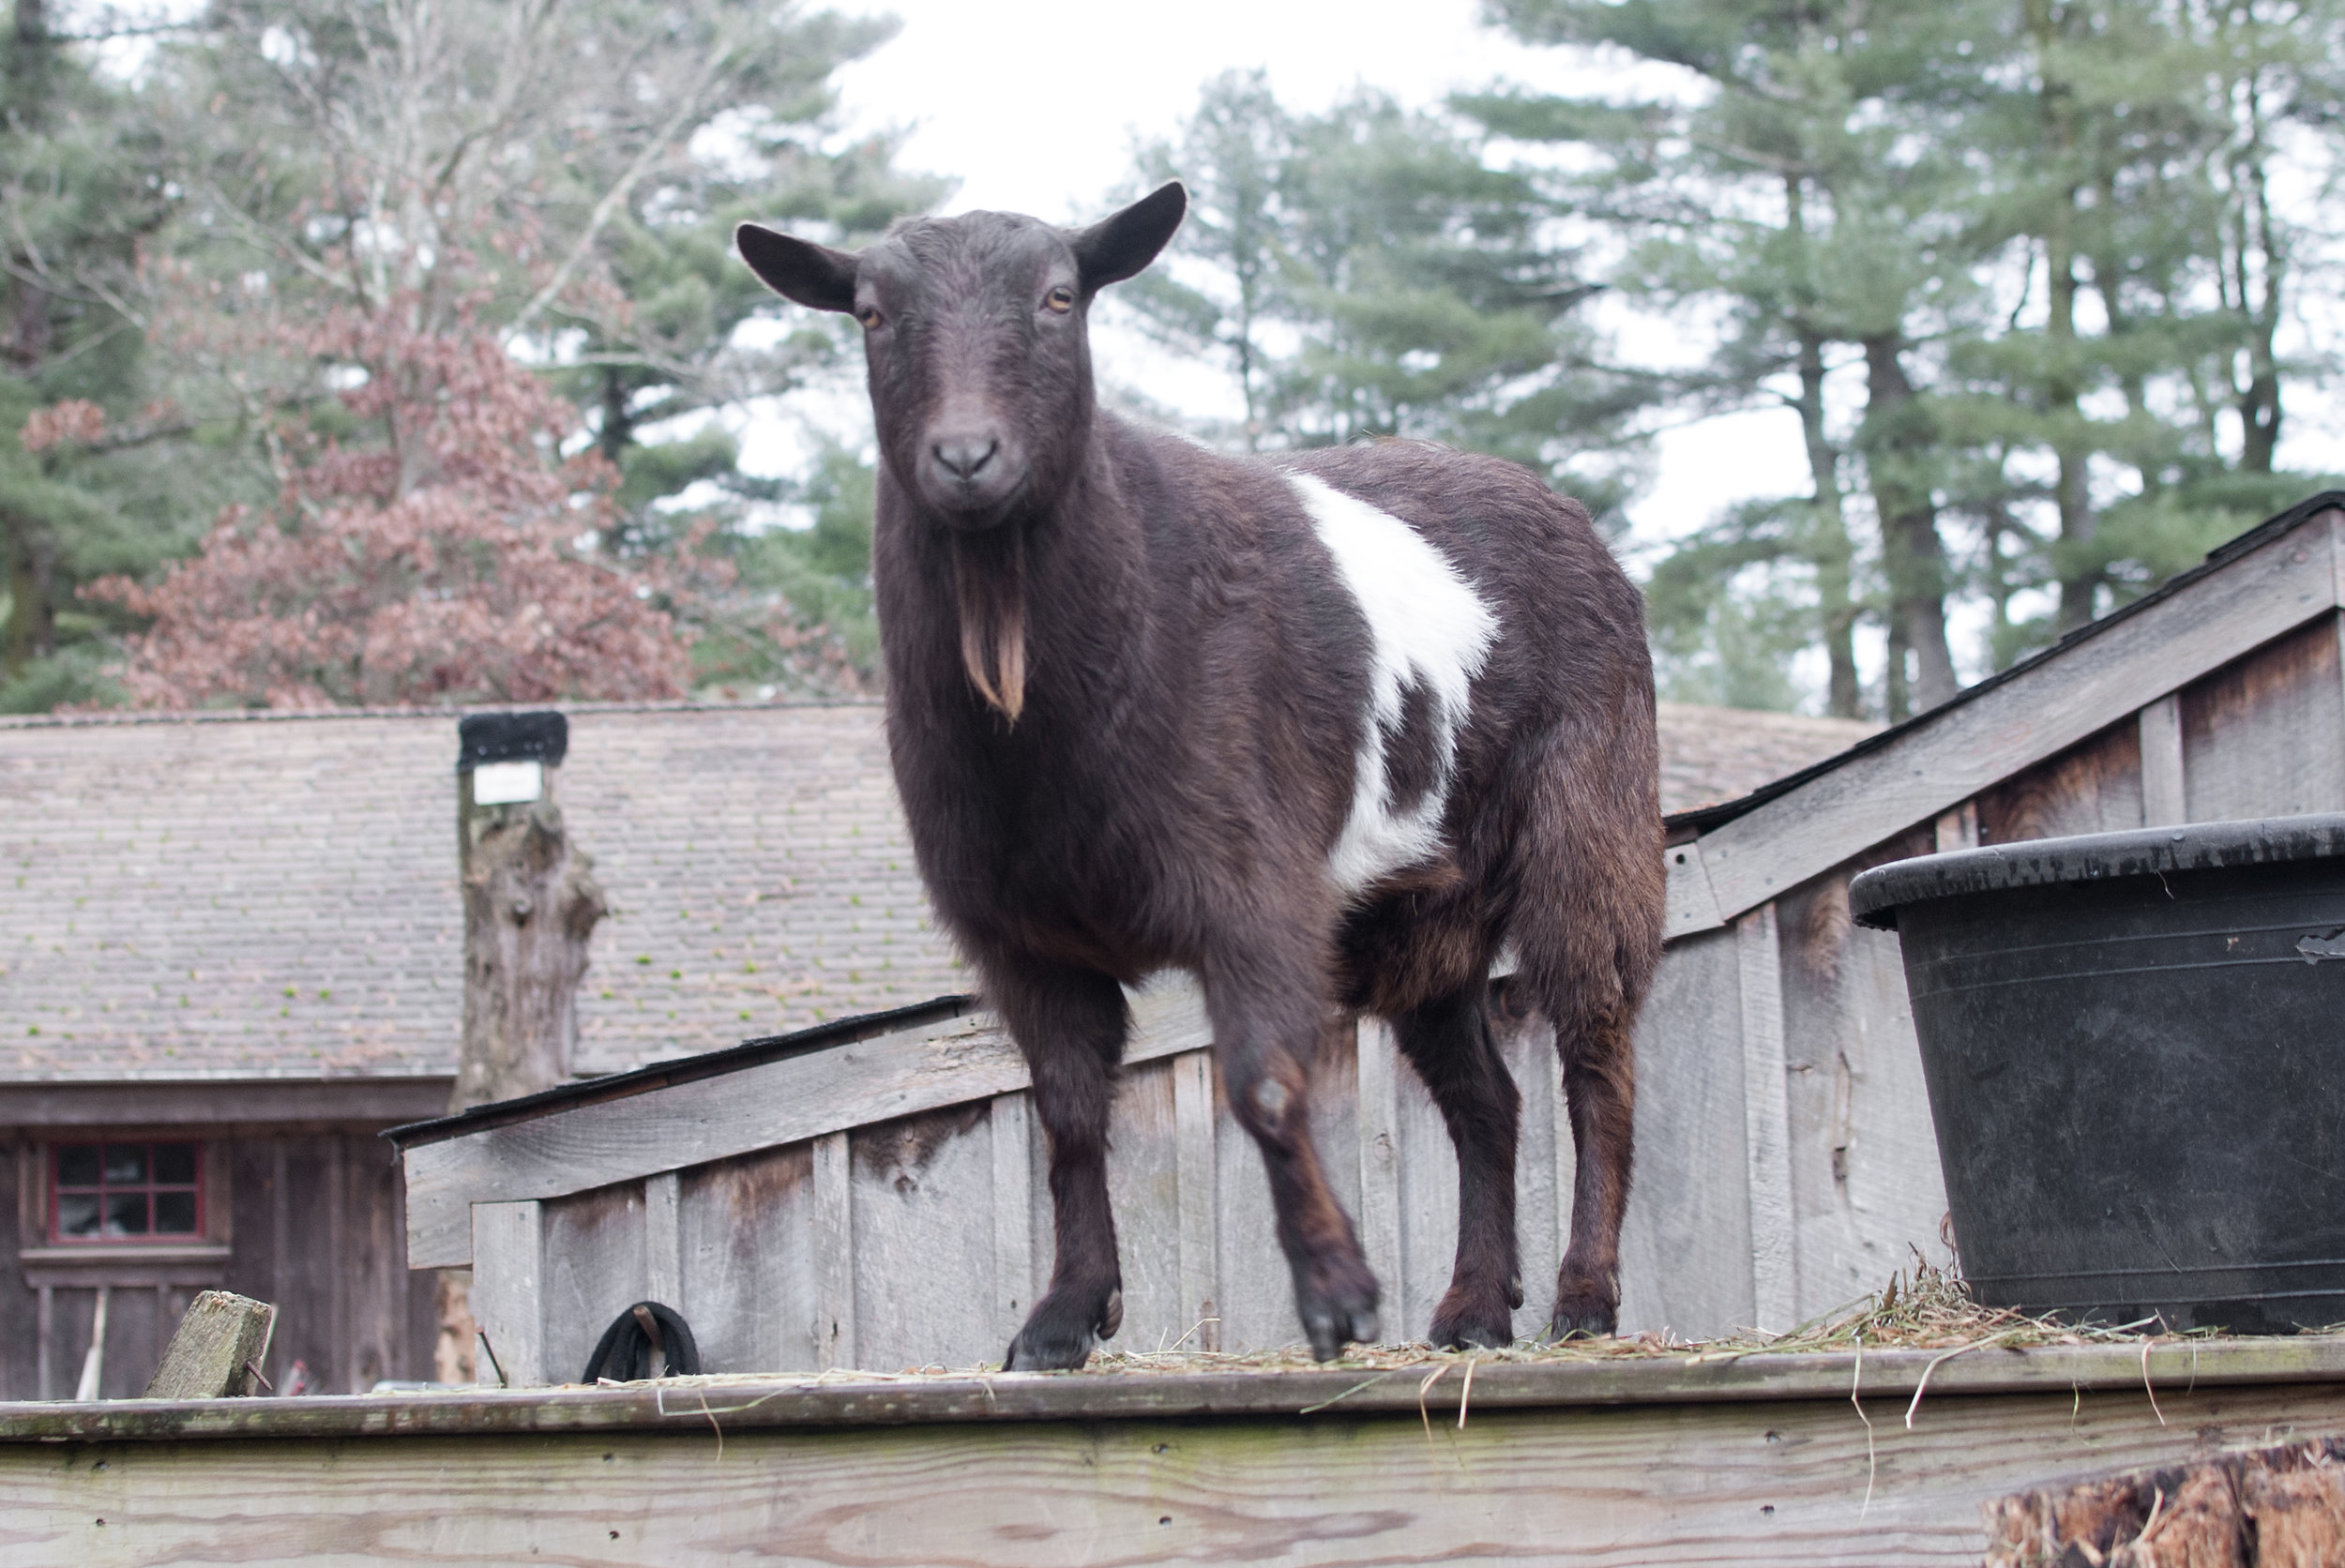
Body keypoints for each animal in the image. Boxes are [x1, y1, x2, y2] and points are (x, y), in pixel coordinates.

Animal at [741, 180, 1660, 1359]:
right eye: (869, 312)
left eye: (1060, 296)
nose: (966, 457)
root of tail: (1573, 518)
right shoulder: (1020, 936)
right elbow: (1067, 1113)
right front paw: (1064, 1316)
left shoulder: (1251, 887)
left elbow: (1262, 1084)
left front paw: (1335, 1294)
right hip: (1421, 908)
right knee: (1484, 1099)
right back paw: (1468, 1310)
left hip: (1591, 822)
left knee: (1596, 1051)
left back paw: (1583, 1295)